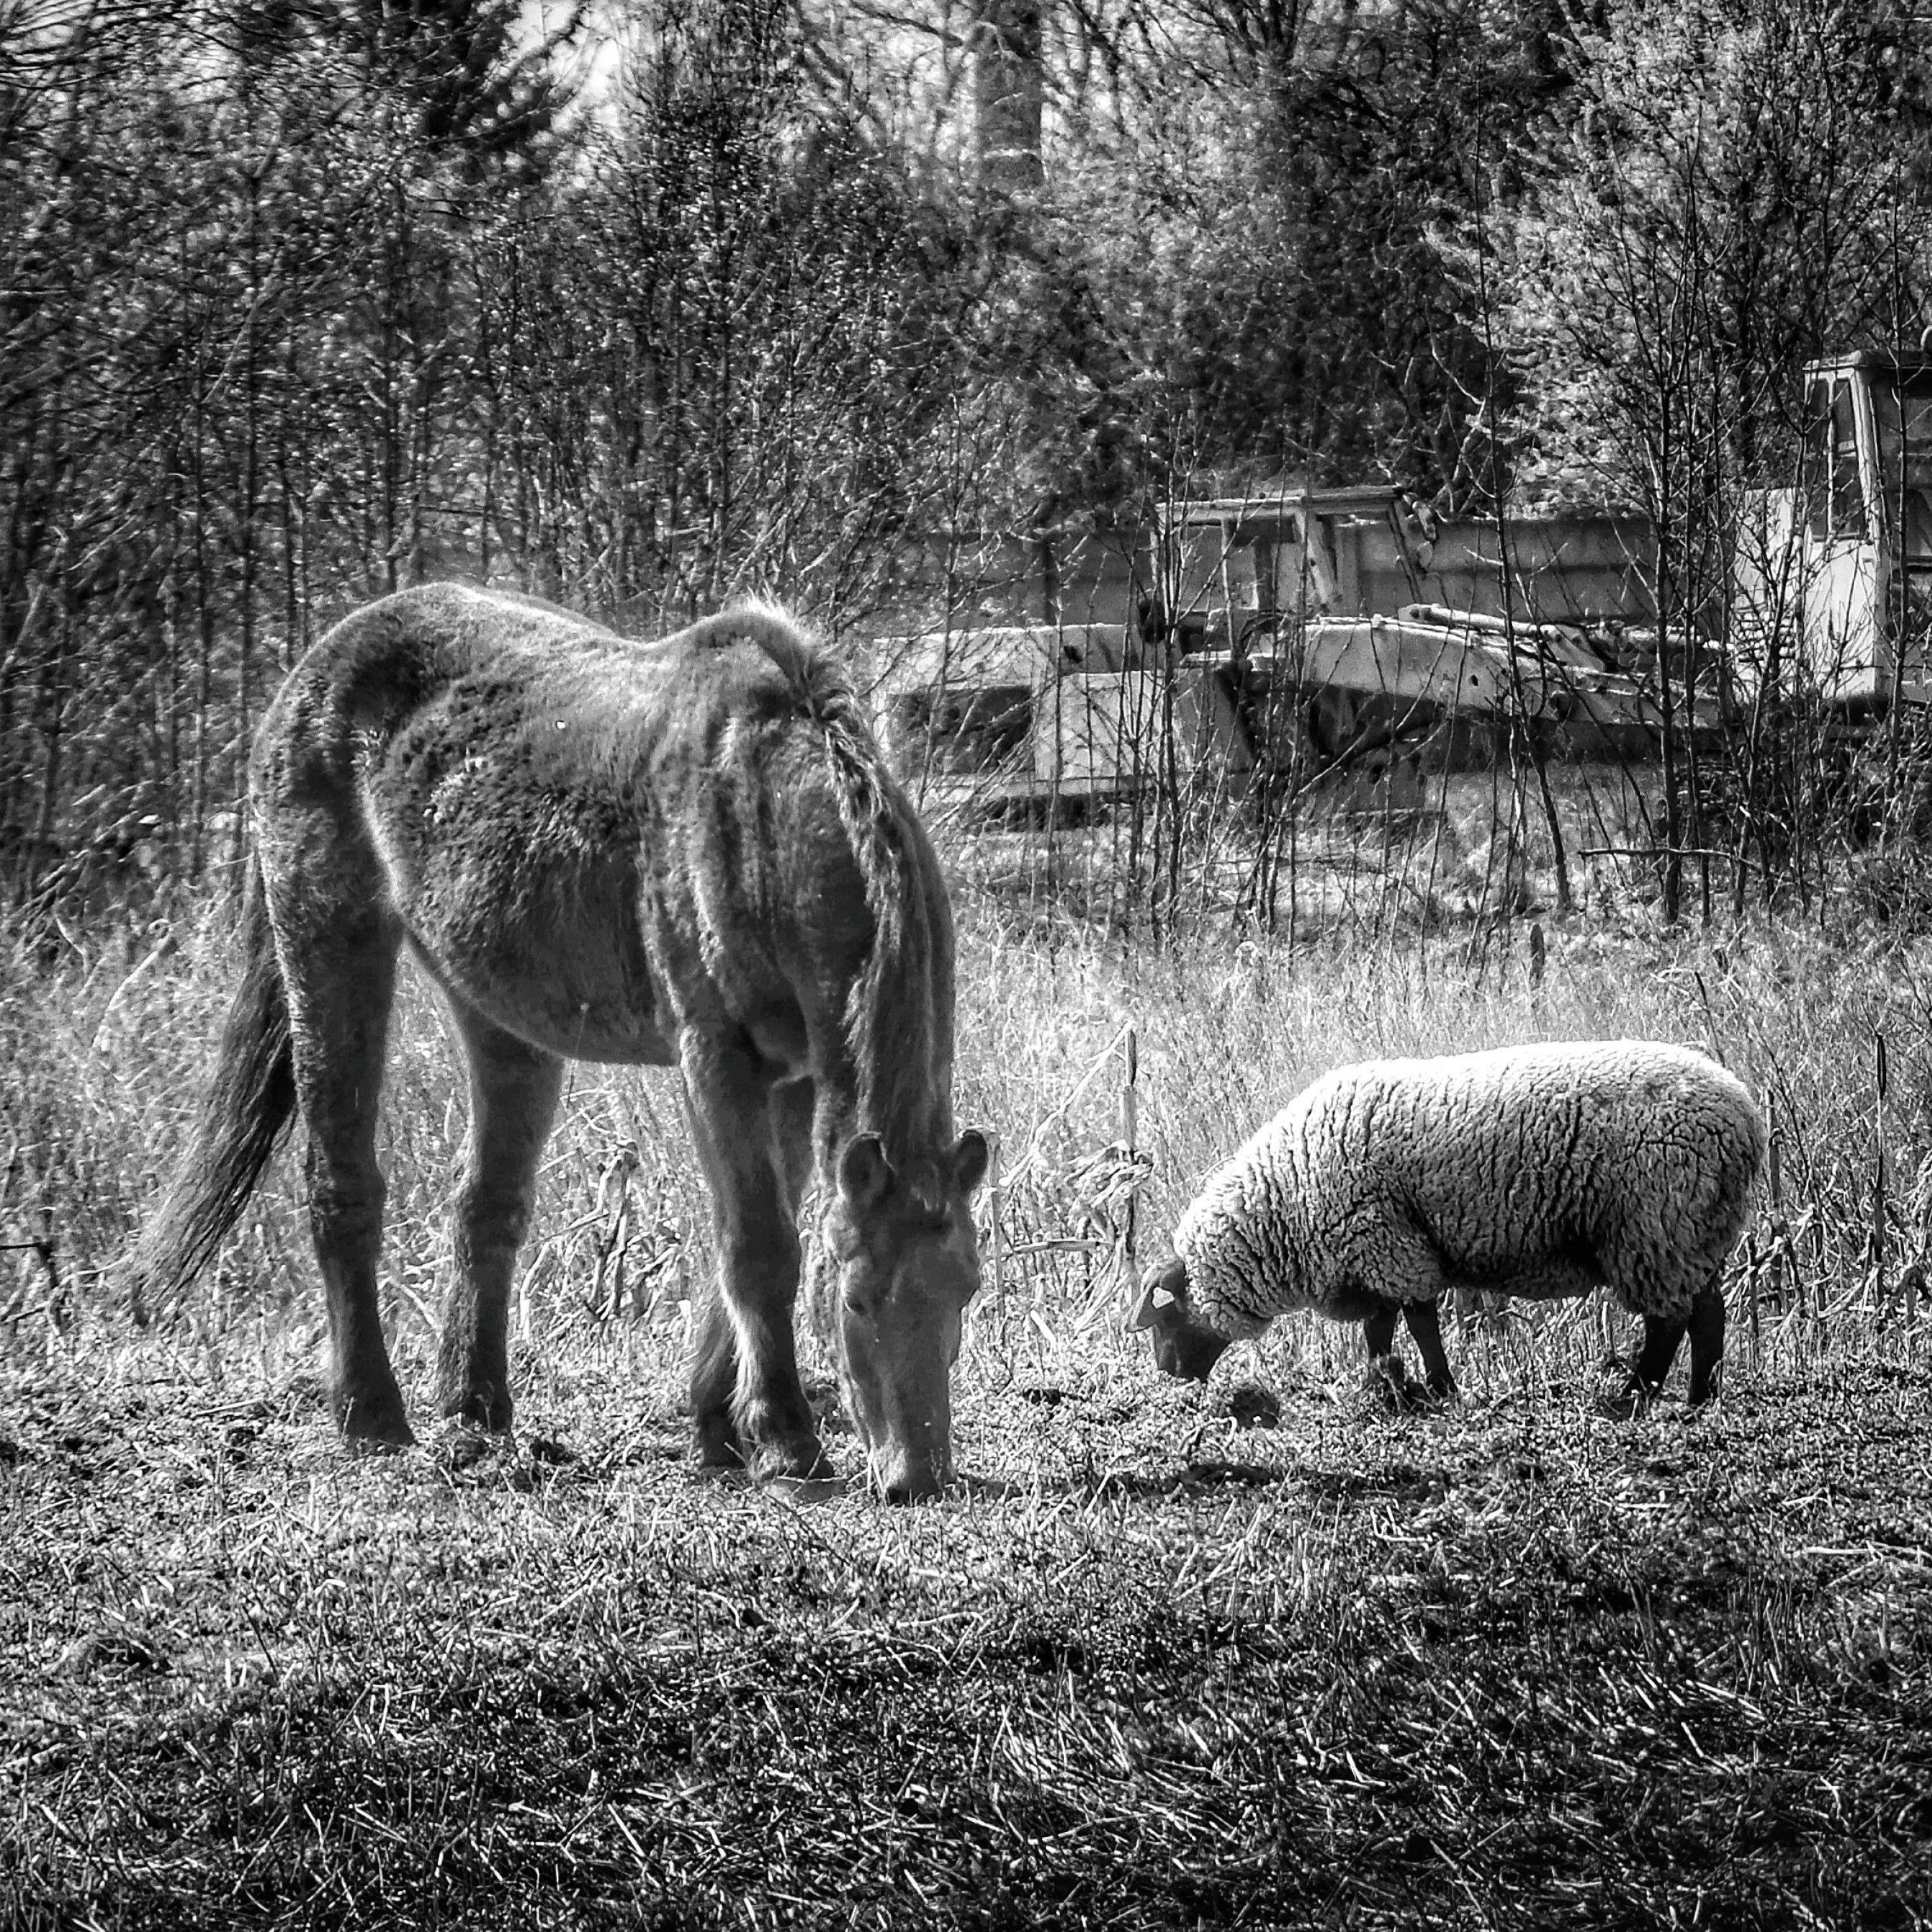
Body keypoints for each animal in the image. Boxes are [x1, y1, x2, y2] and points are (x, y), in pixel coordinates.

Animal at [128, 580, 989, 1499]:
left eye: (968, 1290)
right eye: (858, 1299)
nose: (919, 1475)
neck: (757, 811)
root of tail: (315, 668)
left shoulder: (790, 1077)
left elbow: (758, 1239)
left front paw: (719, 1427)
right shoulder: (715, 1058)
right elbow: (759, 1249)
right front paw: (786, 1440)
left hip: (503, 1018)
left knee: (485, 1210)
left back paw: (474, 1414)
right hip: (329, 944)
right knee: (341, 1187)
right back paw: (372, 1417)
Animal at [1128, 1035, 1770, 1414]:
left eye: (1166, 1317)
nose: (1168, 1374)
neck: (1284, 1206)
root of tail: (1744, 1115)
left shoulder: (1386, 1244)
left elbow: (1416, 1324)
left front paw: (1438, 1387)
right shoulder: (1375, 1256)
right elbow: (1384, 1330)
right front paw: (1387, 1385)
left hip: (1655, 1227)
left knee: (1669, 1322)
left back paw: (1633, 1397)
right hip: (1695, 1231)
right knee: (1708, 1315)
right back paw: (1699, 1398)